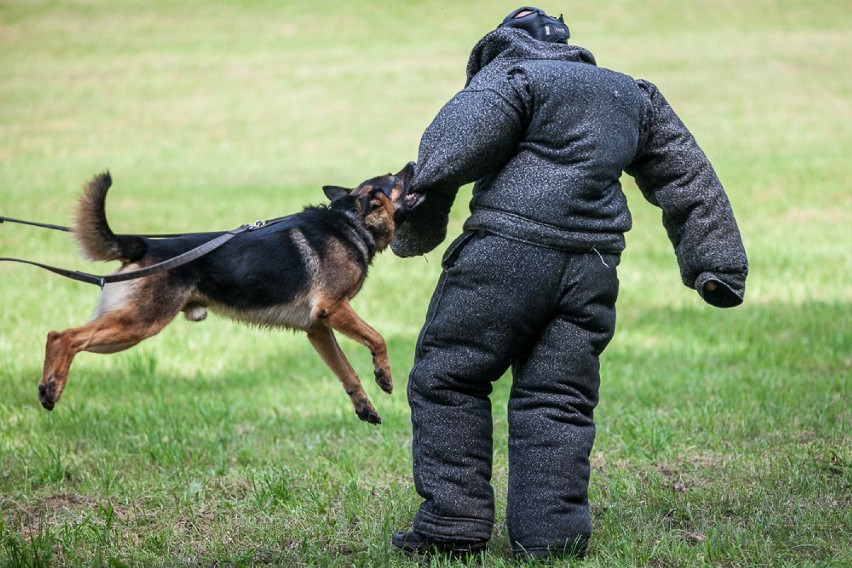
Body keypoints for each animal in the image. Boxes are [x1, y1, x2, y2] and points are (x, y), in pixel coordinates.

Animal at [37, 162, 422, 424]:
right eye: (396, 179)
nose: (412, 163)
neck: (349, 223)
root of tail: (144, 244)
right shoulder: (334, 309)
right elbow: (377, 338)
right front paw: (384, 375)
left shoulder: (318, 329)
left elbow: (347, 372)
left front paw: (364, 405)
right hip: (138, 324)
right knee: (63, 335)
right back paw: (51, 389)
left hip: (130, 328)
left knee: (57, 334)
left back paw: (47, 387)